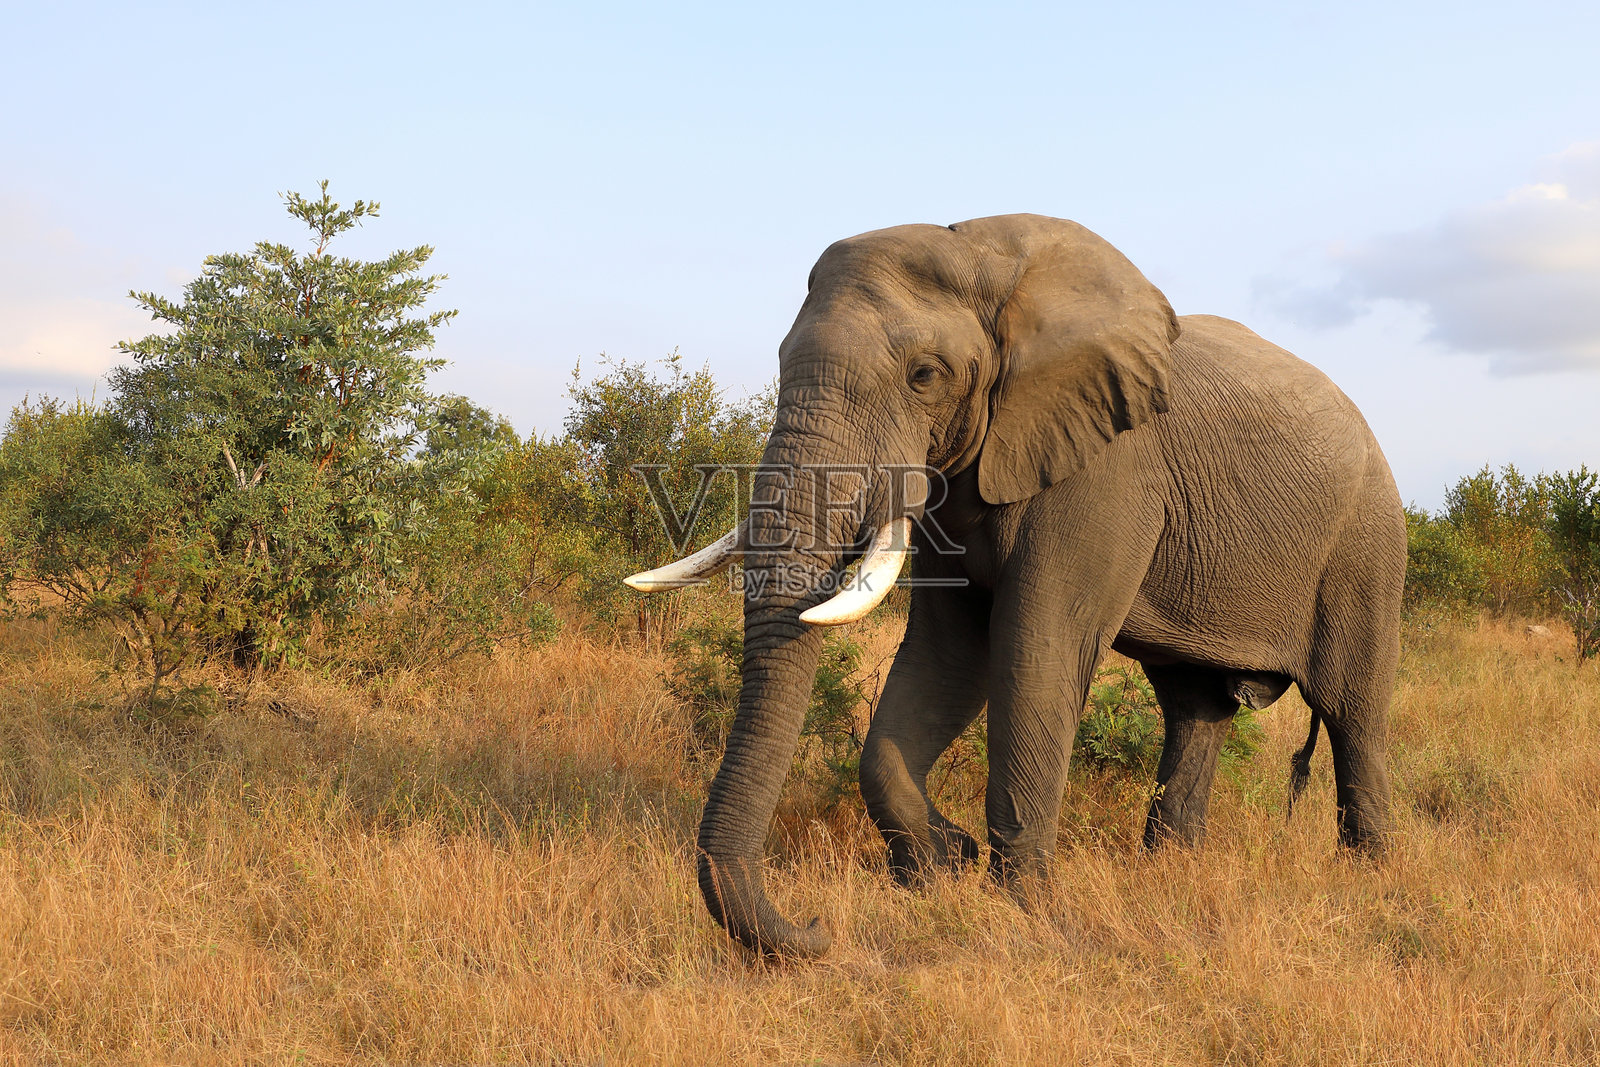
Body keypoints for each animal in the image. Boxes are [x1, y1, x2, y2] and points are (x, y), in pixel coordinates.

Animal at [627, 214, 1405, 959]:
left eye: (924, 375)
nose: (816, 929)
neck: (985, 259)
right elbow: (947, 656)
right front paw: (943, 867)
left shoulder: (1106, 470)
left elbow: (1037, 651)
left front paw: (1022, 907)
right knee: (1194, 708)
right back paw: (1171, 869)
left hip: (1366, 540)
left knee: (1351, 712)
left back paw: (1371, 879)